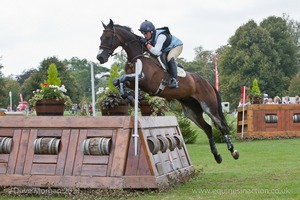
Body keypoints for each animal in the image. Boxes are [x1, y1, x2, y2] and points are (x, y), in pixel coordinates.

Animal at [96, 19, 239, 164]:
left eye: (108, 37)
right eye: (101, 37)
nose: (100, 57)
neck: (136, 58)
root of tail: (207, 83)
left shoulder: (143, 80)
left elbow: (123, 78)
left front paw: (131, 98)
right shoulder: (133, 82)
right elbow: (118, 81)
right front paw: (129, 97)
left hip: (209, 107)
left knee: (221, 126)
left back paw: (233, 152)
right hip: (191, 111)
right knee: (208, 128)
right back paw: (217, 156)